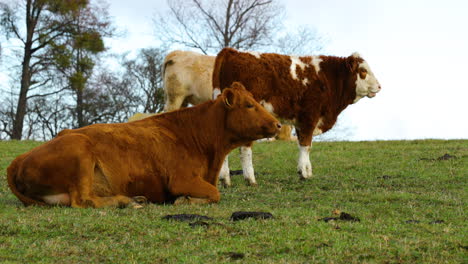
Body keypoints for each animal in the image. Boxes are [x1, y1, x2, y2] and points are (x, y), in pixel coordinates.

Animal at [7, 82, 280, 208]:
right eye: (249, 105)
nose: (278, 125)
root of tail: (17, 161)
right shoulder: (181, 179)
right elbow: (215, 193)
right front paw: (184, 201)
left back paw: (134, 197)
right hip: (80, 153)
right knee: (84, 200)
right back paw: (127, 201)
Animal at [212, 48, 380, 187]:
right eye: (363, 71)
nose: (379, 86)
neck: (327, 78)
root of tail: (232, 51)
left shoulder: (300, 122)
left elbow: (304, 145)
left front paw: (307, 171)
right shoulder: (309, 117)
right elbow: (306, 145)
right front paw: (304, 173)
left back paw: (225, 180)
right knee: (245, 149)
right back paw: (250, 179)